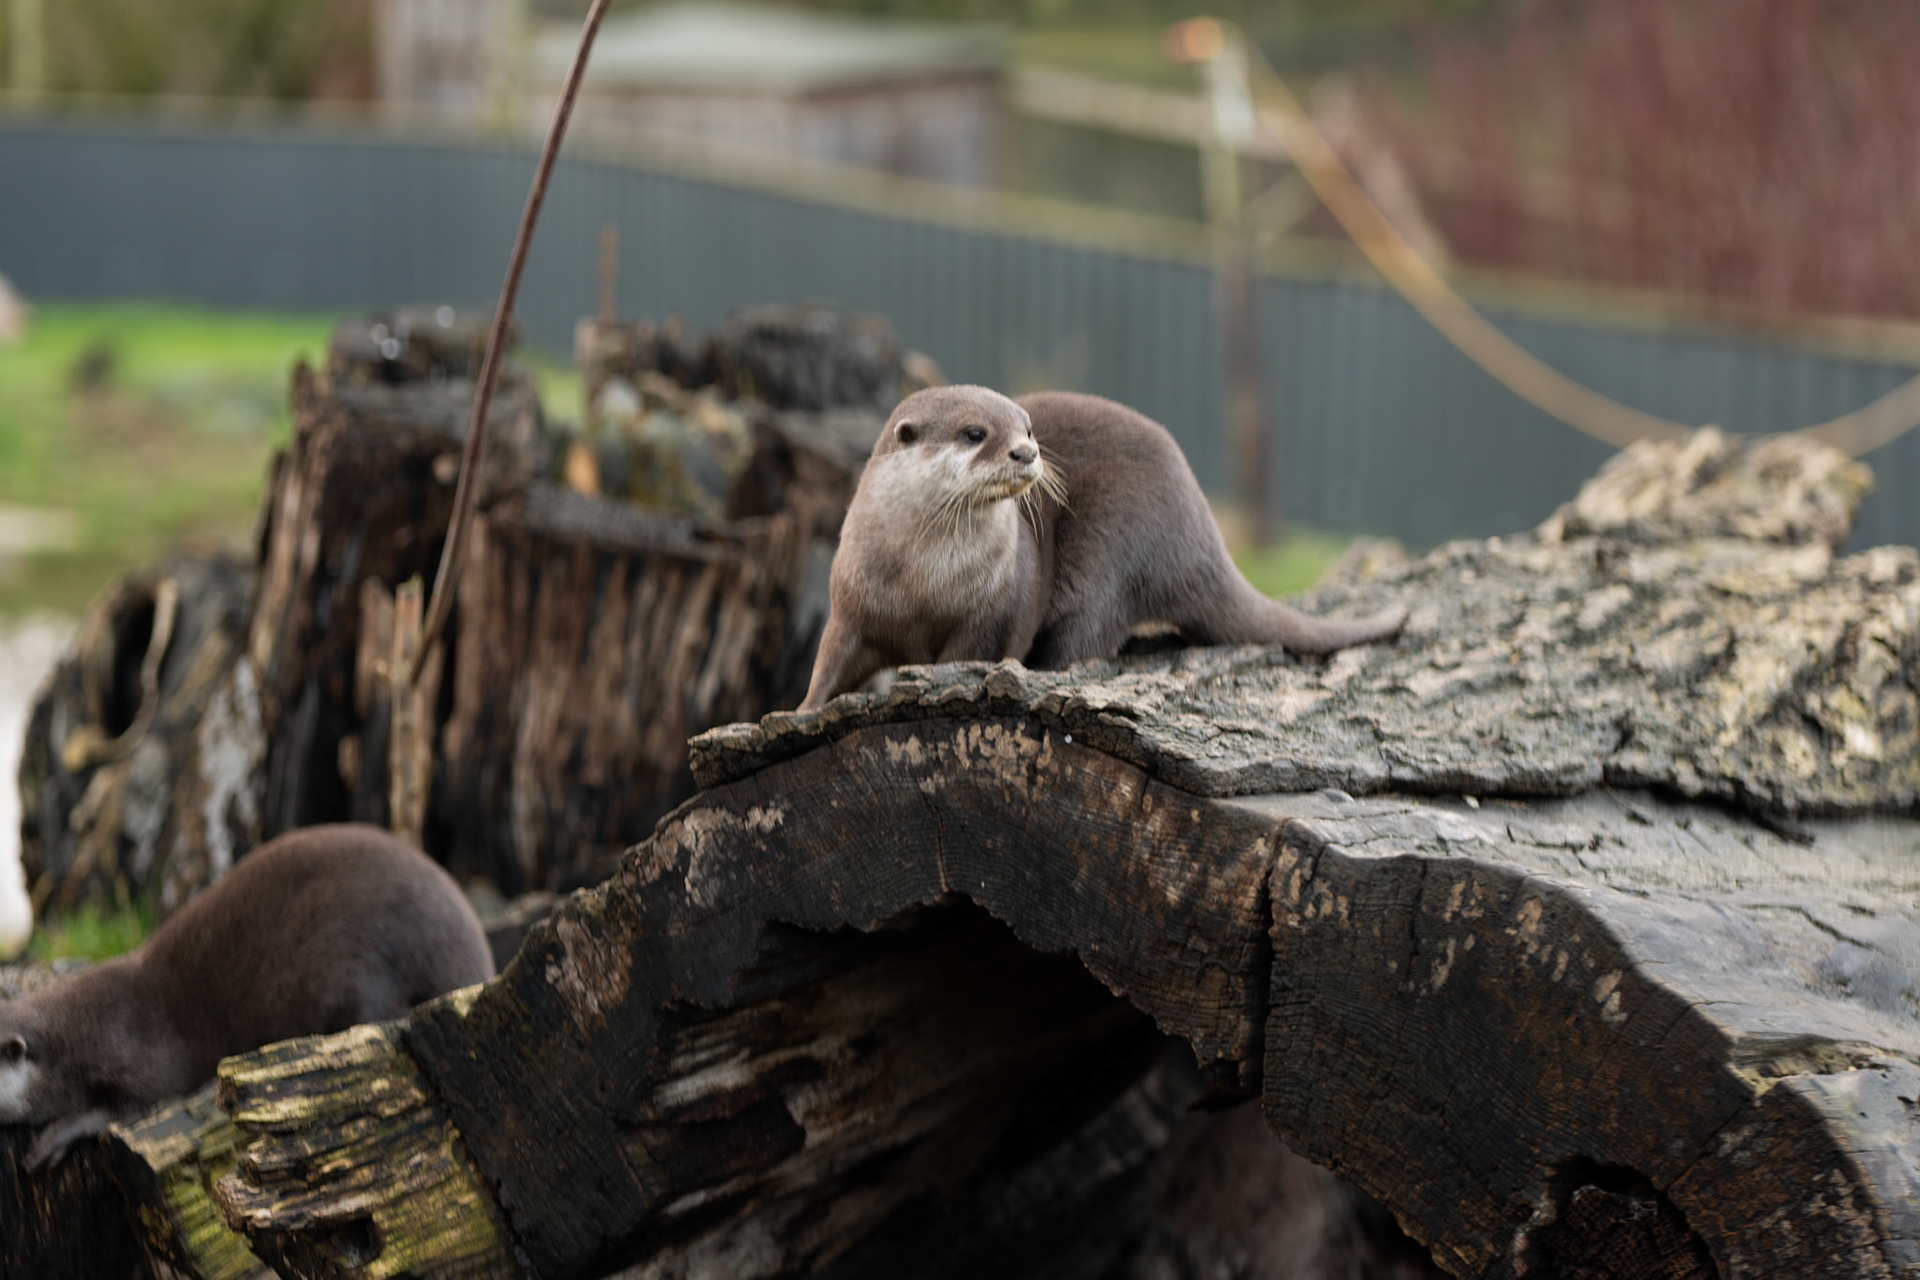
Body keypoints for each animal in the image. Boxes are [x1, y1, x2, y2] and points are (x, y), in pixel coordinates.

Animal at [801, 386, 1408, 709]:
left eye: (1027, 428)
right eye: (974, 433)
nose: (1026, 452)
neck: (922, 581)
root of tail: (1204, 534)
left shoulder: (988, 613)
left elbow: (965, 655)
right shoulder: (850, 602)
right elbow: (830, 660)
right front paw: (802, 710)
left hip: (1114, 542)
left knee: (1091, 632)